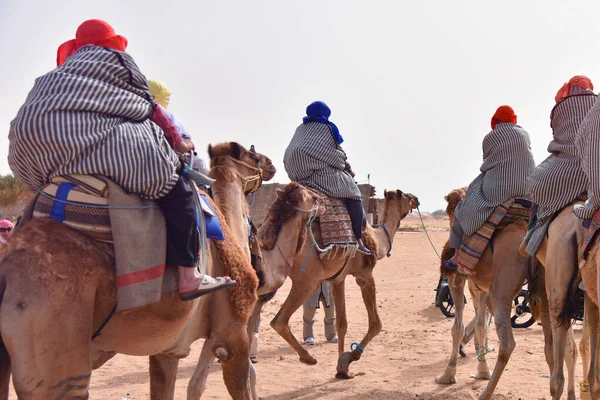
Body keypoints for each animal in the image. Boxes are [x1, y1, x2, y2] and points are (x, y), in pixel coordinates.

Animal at [0, 143, 262, 396]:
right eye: (255, 157)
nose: (268, 165)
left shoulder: (168, 349)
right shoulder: (231, 333)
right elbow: (238, 383)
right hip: (54, 349)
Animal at [258, 188, 418, 378]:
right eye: (407, 196)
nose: (417, 200)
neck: (378, 241)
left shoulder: (337, 279)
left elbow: (341, 323)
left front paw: (342, 368)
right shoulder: (364, 275)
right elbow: (376, 324)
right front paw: (352, 356)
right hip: (307, 280)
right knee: (278, 321)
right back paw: (308, 358)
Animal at [436, 198, 536, 398]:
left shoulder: (457, 278)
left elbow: (457, 328)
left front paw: (447, 375)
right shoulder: (480, 287)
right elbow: (481, 326)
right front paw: (482, 371)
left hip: (501, 288)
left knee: (507, 342)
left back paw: (486, 393)